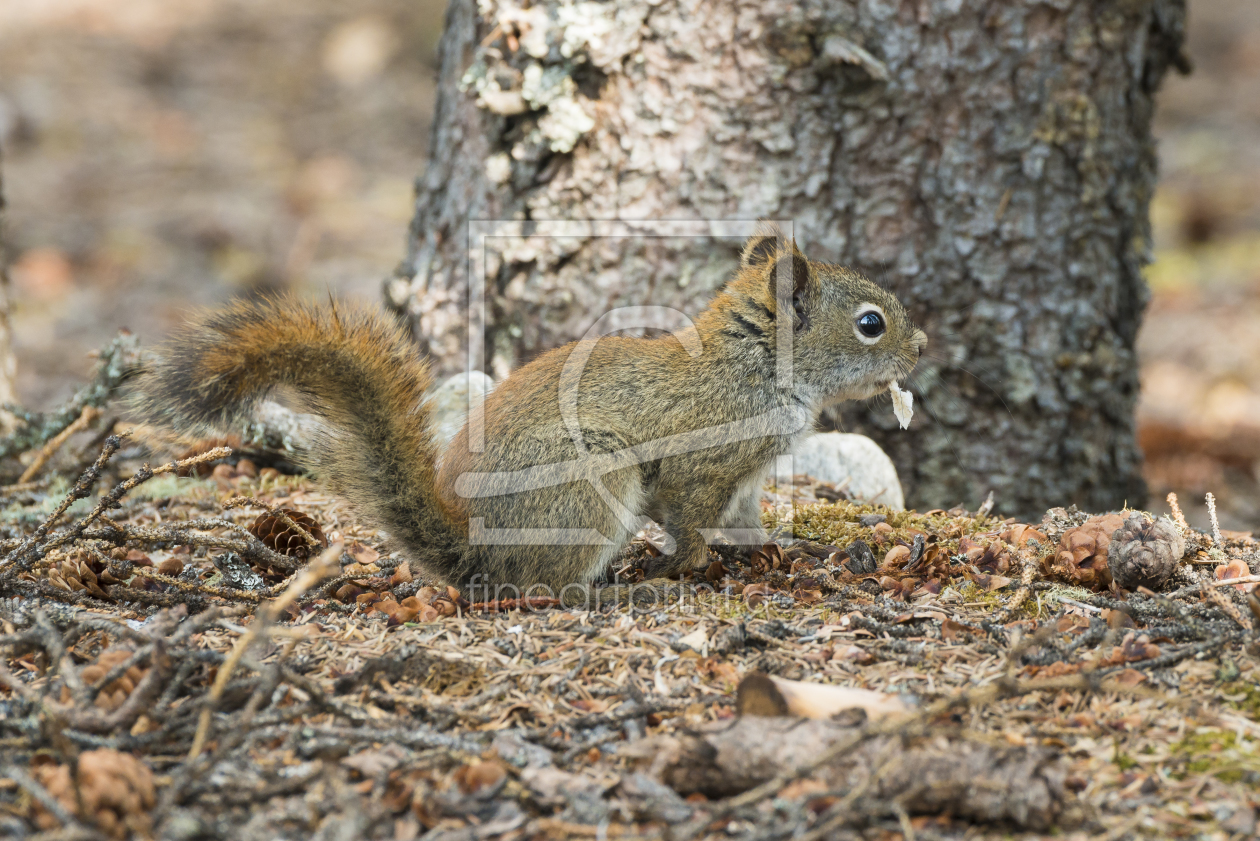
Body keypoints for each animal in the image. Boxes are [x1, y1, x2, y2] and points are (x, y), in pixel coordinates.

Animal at [132, 223, 927, 605]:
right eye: (870, 324)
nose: (921, 346)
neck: (754, 363)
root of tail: (479, 555)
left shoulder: (748, 474)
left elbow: (745, 519)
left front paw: (781, 551)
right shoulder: (703, 462)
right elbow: (690, 517)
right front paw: (689, 566)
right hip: (589, 479)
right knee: (553, 588)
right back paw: (626, 592)